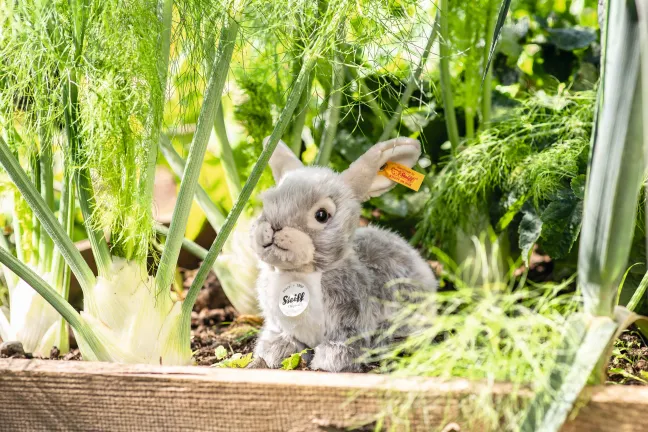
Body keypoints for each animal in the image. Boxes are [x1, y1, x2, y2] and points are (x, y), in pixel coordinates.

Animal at [248, 137, 437, 372]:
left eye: (321, 215)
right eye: (268, 203)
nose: (273, 226)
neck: (301, 274)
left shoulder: (348, 322)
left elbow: (343, 343)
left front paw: (330, 360)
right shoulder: (278, 323)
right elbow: (282, 337)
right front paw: (273, 352)